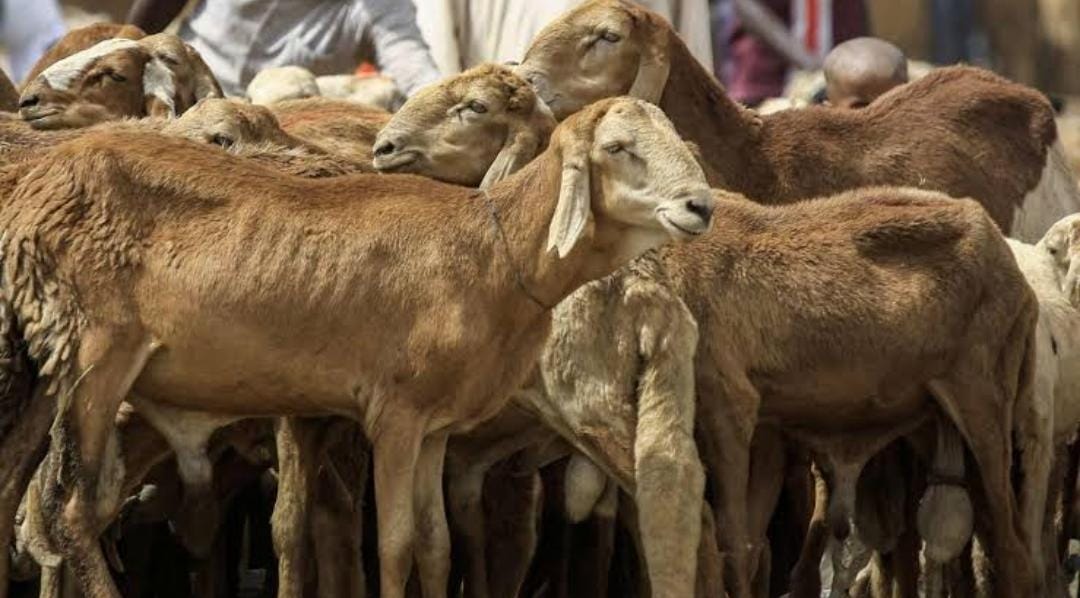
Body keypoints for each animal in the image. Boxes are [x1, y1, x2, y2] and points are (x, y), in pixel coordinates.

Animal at [0, 97, 717, 595]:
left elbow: (435, 545)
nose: (701, 206)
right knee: (72, 511)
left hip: (39, 371)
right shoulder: (394, 417)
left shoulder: (435, 428)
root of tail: (36, 192)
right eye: (619, 146)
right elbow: (395, 544)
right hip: (94, 357)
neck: (493, 248)